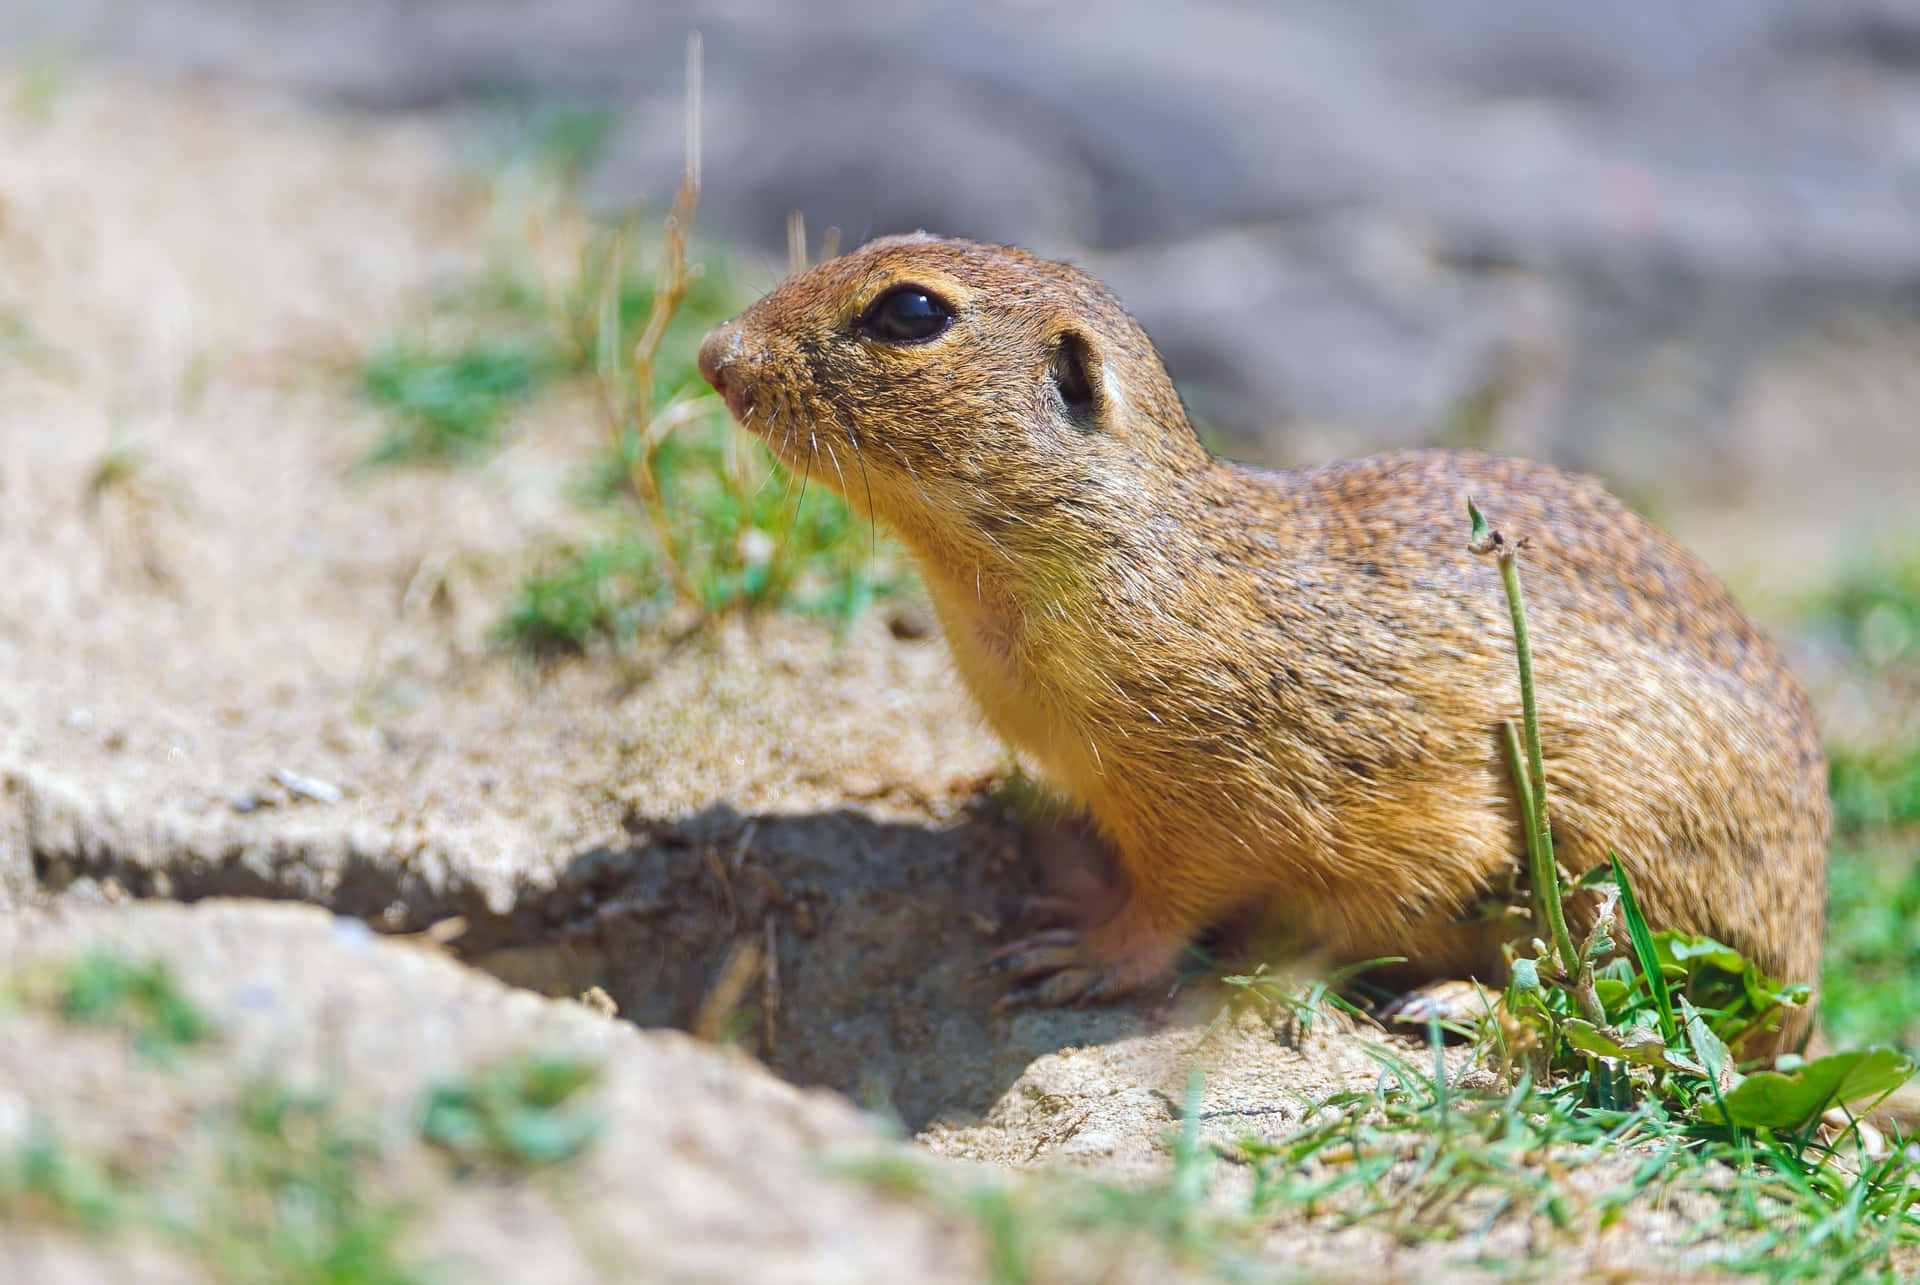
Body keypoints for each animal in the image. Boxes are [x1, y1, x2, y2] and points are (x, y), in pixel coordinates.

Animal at [695, 235, 1827, 1044]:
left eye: (912, 311)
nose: (714, 354)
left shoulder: (1220, 810)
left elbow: (1168, 911)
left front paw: (1077, 955)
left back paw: (1454, 1005)